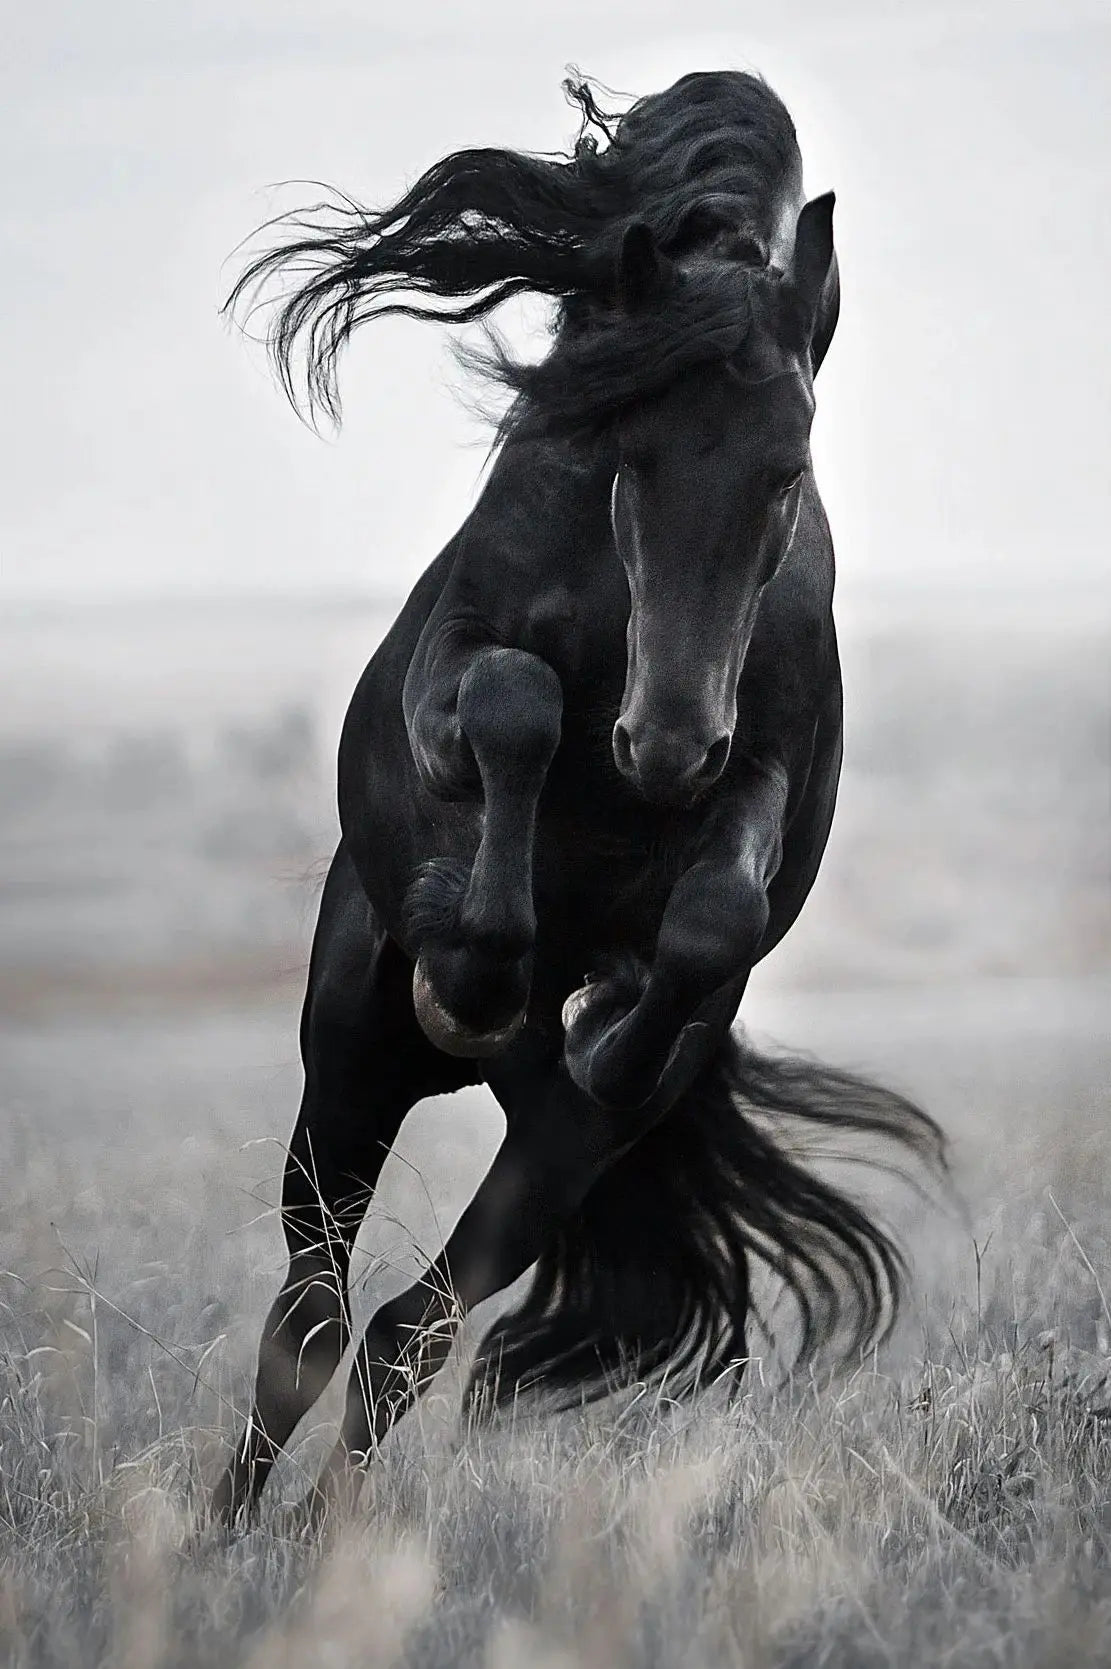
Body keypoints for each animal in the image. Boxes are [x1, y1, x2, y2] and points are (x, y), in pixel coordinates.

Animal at [212, 71, 943, 1525]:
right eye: (627, 449)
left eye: (785, 470)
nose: (662, 747)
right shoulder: (464, 661)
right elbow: (512, 703)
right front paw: (476, 962)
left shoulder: (762, 762)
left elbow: (717, 910)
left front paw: (615, 1022)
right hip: (350, 1066)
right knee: (308, 1320)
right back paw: (226, 1538)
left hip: (548, 1155)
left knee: (407, 1331)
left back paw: (323, 1537)